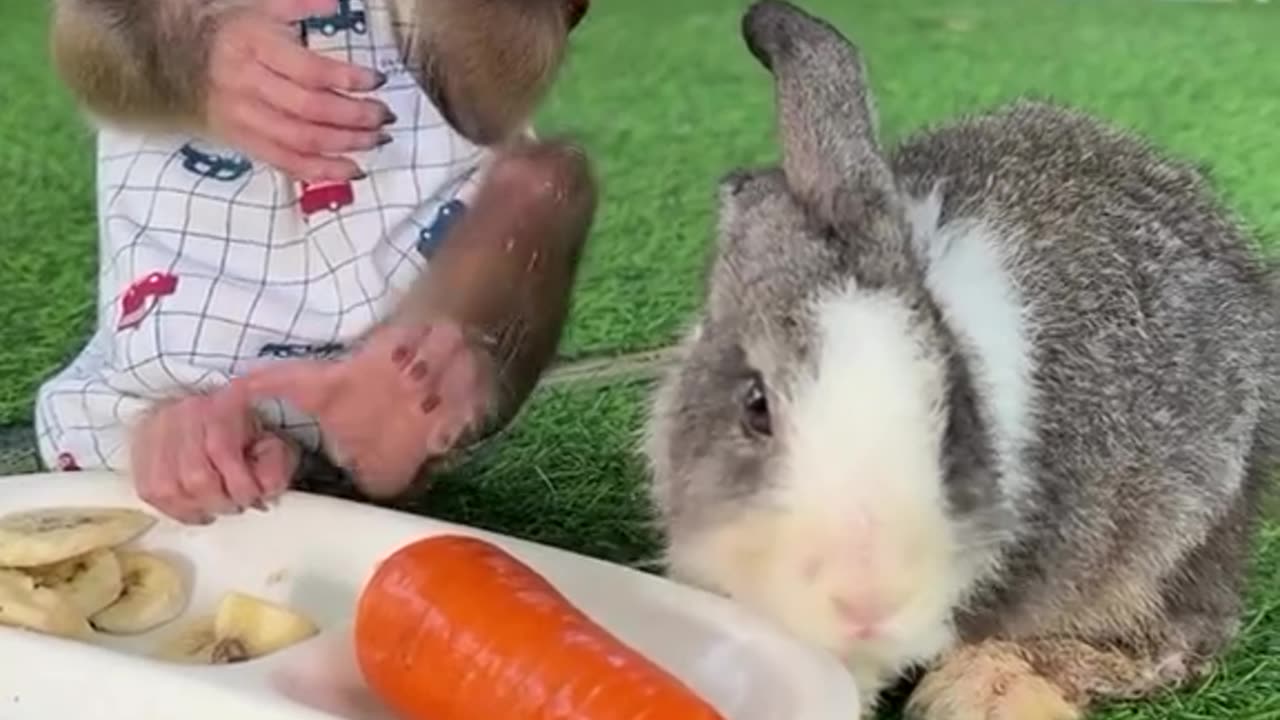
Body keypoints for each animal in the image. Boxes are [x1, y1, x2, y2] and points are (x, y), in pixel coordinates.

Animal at [40, 0, 596, 517]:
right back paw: (188, 439)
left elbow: (483, 98)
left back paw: (395, 403)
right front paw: (234, 62)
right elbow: (87, 40)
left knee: (541, 179)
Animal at [645, 2, 1280, 712]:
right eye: (755, 406)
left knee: (1174, 648)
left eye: (951, 411)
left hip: (1176, 546)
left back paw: (984, 690)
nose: (868, 597)